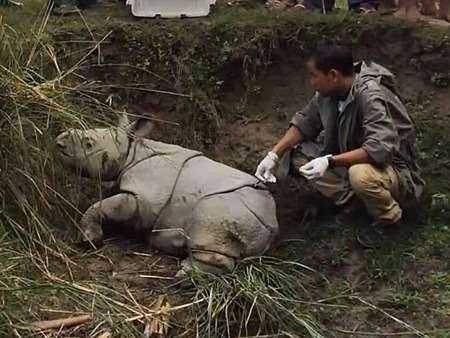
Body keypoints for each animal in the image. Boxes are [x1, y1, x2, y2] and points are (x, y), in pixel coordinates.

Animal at [55, 113, 278, 274]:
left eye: (88, 143)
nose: (58, 142)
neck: (132, 152)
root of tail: (273, 224)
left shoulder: (143, 200)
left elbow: (106, 206)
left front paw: (89, 239)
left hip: (230, 210)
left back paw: (185, 273)